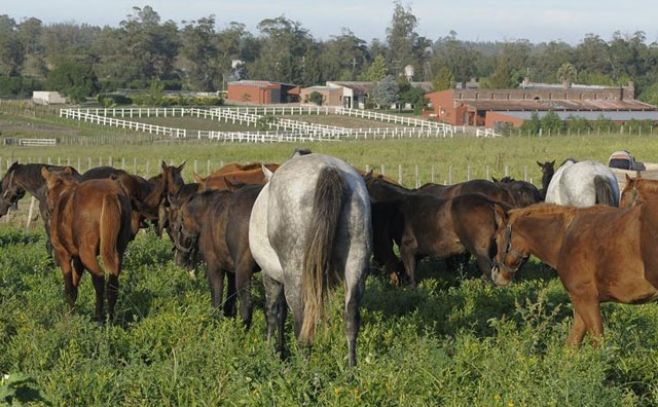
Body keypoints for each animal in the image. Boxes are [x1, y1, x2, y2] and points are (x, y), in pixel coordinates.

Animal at [42, 167, 135, 324]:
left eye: (46, 191)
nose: (47, 210)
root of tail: (110, 193)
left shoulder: (63, 255)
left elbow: (69, 287)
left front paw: (71, 315)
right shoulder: (78, 259)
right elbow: (75, 285)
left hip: (87, 253)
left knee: (99, 278)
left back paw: (98, 318)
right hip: (118, 250)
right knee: (112, 284)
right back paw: (110, 318)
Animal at [247, 153, 368, 366]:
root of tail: (328, 169)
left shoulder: (271, 277)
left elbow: (273, 312)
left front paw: (273, 352)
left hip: (298, 276)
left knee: (303, 322)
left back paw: (303, 368)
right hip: (355, 263)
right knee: (351, 316)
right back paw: (351, 367)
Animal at [490, 204, 656, 348]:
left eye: (496, 239)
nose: (496, 274)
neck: (564, 237)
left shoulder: (585, 299)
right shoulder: (582, 303)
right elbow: (572, 345)